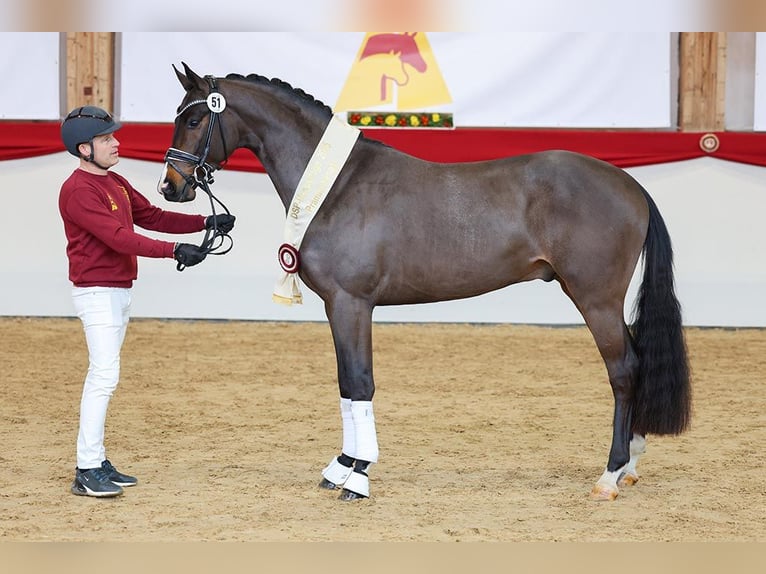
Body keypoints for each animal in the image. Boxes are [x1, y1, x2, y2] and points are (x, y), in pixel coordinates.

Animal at [158, 62, 691, 502]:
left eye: (194, 120)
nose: (170, 186)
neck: (338, 186)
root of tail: (630, 184)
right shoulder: (339, 306)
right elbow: (346, 384)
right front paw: (340, 467)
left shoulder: (351, 303)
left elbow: (360, 382)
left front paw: (357, 477)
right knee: (635, 363)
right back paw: (631, 465)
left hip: (595, 299)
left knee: (623, 370)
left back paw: (610, 475)